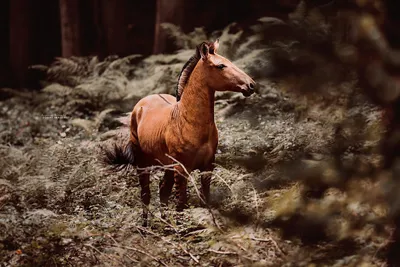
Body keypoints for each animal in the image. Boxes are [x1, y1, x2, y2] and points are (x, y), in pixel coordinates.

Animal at [101, 39, 255, 226]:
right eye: (220, 66)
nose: (251, 85)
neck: (190, 122)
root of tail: (141, 105)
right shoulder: (182, 170)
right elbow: (181, 203)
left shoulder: (207, 167)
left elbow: (205, 199)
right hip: (143, 164)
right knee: (146, 195)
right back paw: (145, 228)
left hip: (167, 165)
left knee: (162, 190)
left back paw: (166, 225)